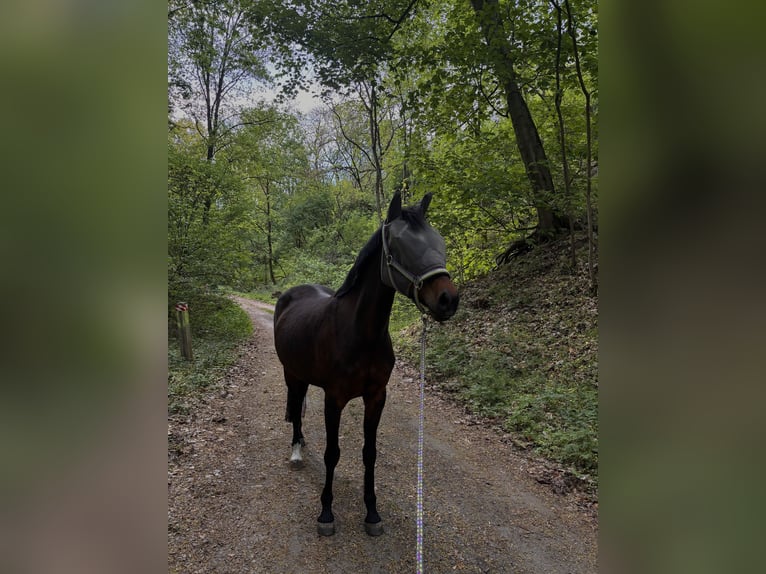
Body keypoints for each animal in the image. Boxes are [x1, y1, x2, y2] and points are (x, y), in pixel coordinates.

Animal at [273, 191, 459, 537]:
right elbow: (332, 453)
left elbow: (369, 454)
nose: (448, 299)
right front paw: (326, 513)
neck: (361, 332)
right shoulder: (334, 399)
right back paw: (296, 450)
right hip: (292, 373)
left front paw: (372, 512)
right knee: (295, 406)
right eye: (399, 244)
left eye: (438, 240)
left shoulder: (376, 397)